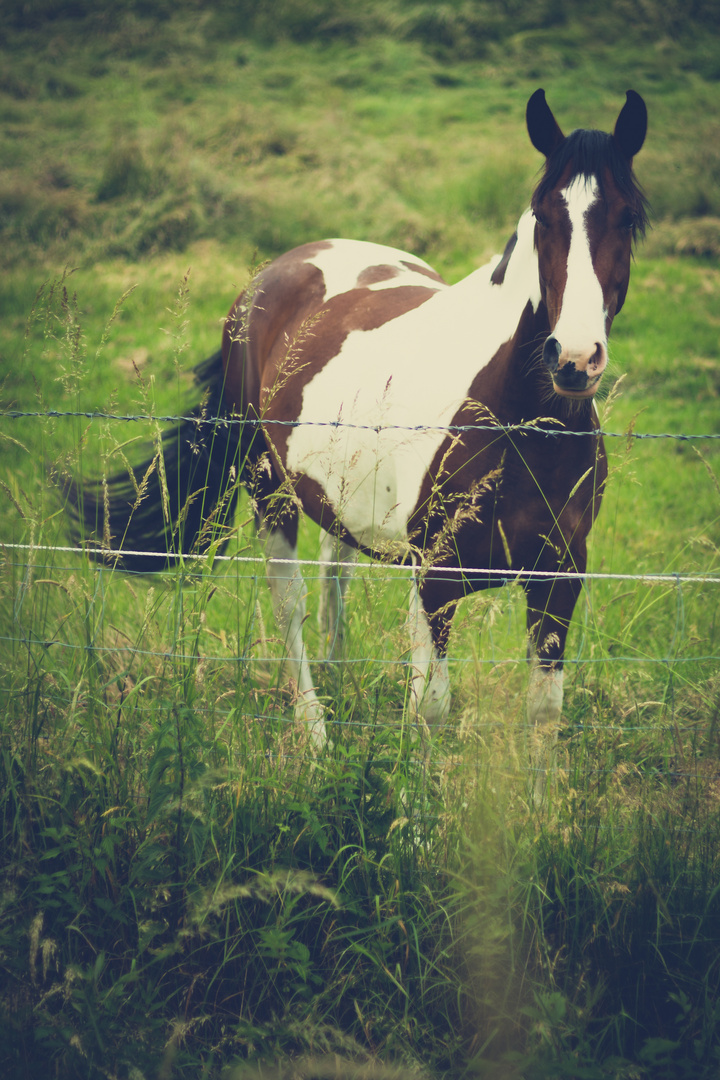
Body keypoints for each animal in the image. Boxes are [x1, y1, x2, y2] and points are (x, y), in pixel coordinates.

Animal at [67, 90, 651, 751]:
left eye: (628, 218)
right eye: (543, 218)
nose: (574, 360)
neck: (522, 427)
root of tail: (273, 275)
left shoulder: (560, 576)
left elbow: (544, 713)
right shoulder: (436, 577)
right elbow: (431, 707)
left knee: (333, 577)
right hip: (269, 487)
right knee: (289, 599)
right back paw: (315, 730)